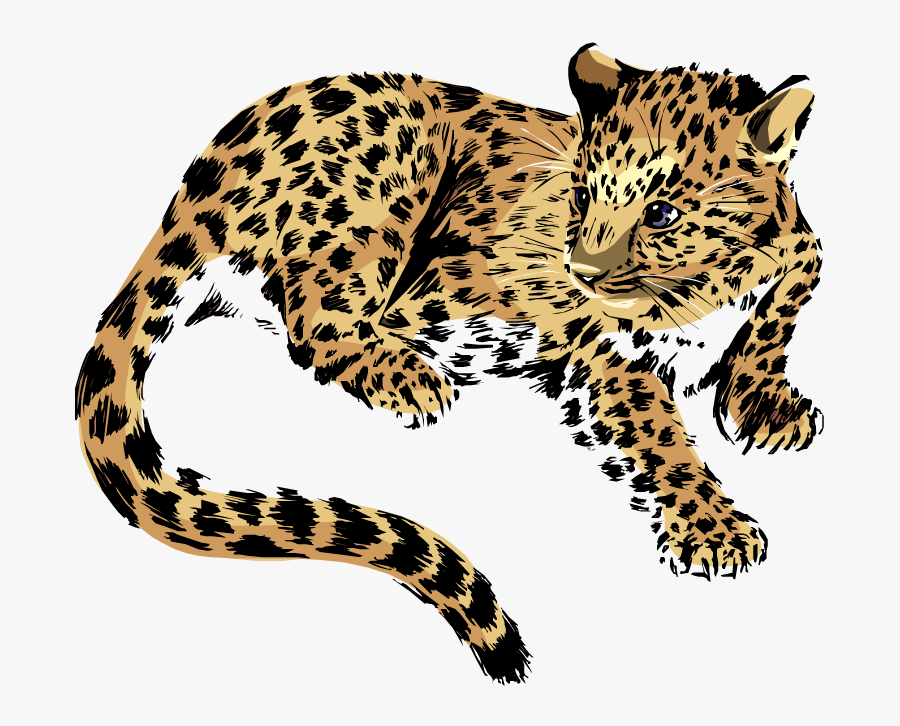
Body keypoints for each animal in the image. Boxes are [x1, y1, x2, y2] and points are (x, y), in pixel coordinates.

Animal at [75, 44, 822, 683]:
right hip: (396, 165)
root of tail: (200, 182)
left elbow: (783, 304)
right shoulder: (605, 356)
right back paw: (412, 378)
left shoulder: (803, 250)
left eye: (662, 212)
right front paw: (715, 528)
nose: (578, 270)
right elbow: (662, 437)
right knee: (314, 319)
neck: (713, 282)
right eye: (581, 196)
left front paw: (768, 404)